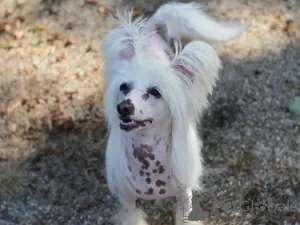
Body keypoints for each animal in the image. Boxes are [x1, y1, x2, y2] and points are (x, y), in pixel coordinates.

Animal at [101, 2, 246, 225]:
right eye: (124, 87)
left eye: (155, 92)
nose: (123, 107)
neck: (148, 158)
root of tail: (146, 30)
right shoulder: (127, 203)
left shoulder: (184, 196)